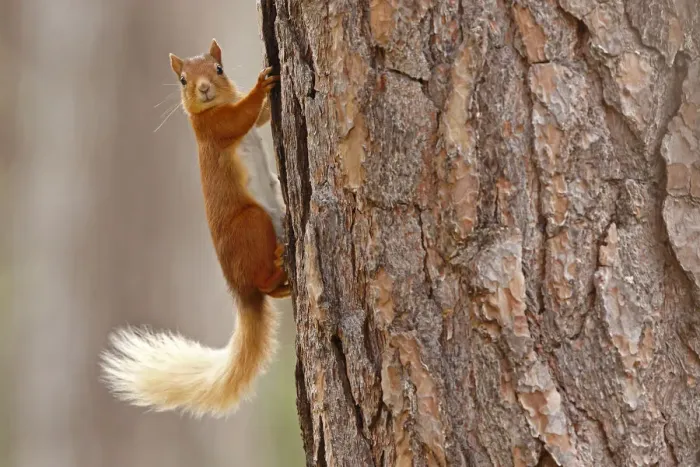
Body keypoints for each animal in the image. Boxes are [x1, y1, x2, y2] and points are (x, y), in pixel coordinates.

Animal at [100, 39, 290, 418]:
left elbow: (259, 117)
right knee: (261, 282)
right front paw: (260, 85)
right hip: (252, 222)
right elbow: (241, 116)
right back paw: (277, 268)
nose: (203, 89)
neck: (213, 106)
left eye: (219, 69)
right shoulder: (214, 128)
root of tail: (239, 291)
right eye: (183, 80)